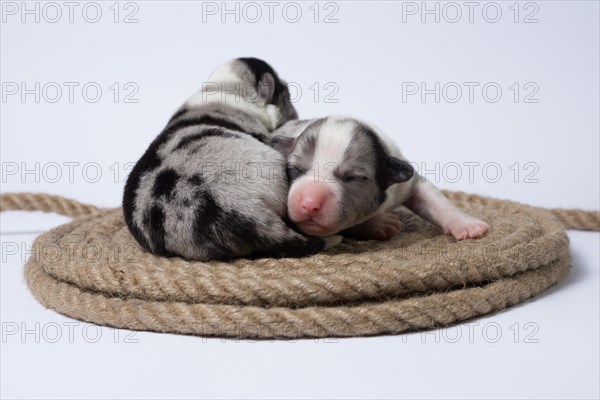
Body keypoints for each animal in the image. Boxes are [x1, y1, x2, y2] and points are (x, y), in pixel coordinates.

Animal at [270, 115, 490, 241]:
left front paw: (466, 224)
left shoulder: (406, 180)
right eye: (294, 169)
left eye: (354, 177)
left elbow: (432, 198)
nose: (309, 203)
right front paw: (379, 223)